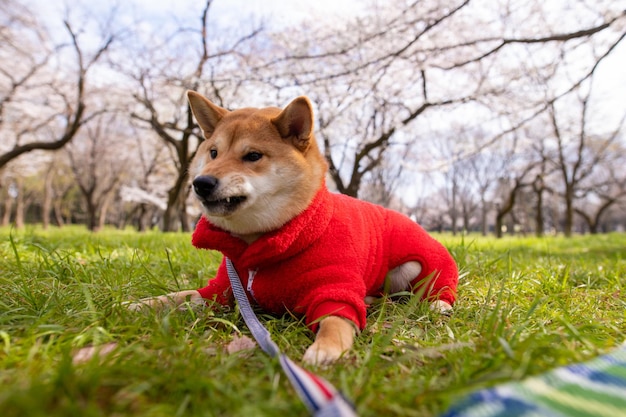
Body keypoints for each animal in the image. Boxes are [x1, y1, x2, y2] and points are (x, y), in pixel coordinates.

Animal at [128, 90, 458, 364]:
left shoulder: (334, 289)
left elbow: (335, 322)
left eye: (252, 156)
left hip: (418, 266)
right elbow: (178, 297)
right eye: (213, 153)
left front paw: (327, 348)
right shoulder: (221, 290)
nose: (201, 183)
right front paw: (138, 304)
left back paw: (437, 305)